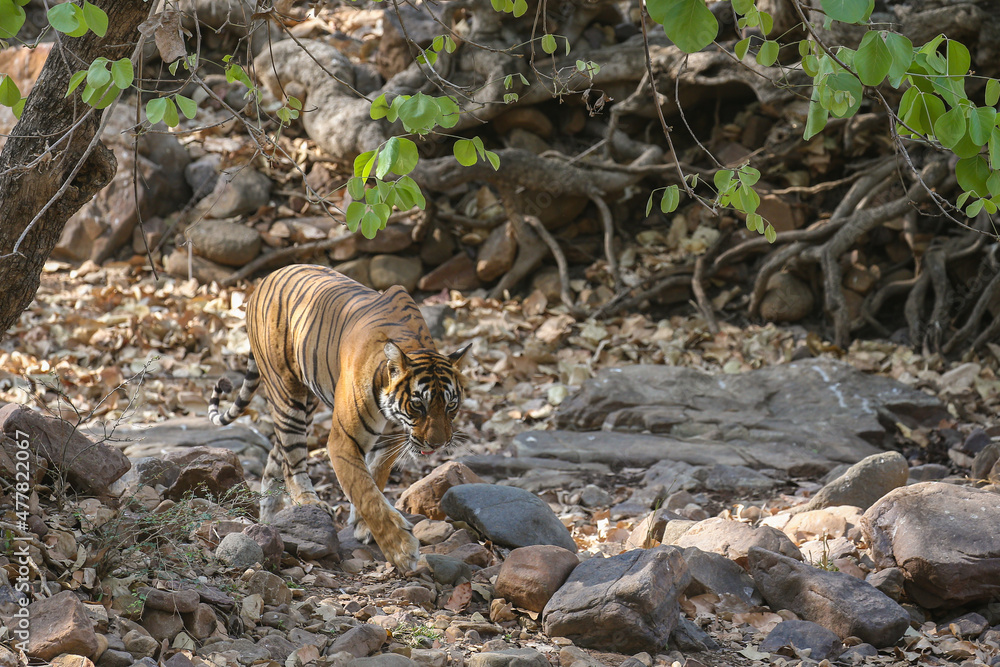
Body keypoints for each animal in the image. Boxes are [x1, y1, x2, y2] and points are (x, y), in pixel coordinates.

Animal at [208, 264, 469, 573]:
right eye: (418, 405)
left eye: (451, 405)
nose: (438, 444)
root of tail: (264, 279)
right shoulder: (344, 440)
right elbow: (364, 490)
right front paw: (400, 549)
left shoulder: (390, 441)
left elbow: (374, 477)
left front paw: (362, 525)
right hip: (287, 393)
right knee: (292, 459)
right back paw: (308, 501)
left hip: (307, 403)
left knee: (276, 457)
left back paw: (268, 522)